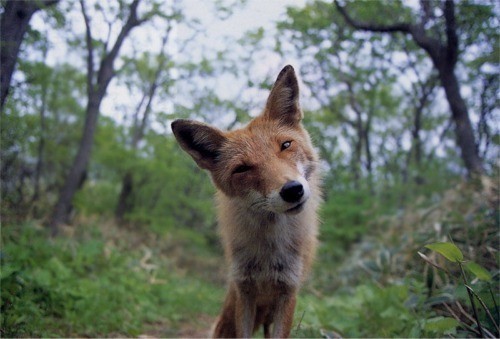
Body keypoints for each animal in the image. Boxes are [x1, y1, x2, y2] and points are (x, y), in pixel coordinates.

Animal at [171, 65, 320, 338]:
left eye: (285, 145)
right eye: (242, 169)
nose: (293, 190)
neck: (268, 253)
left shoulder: (287, 292)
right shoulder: (245, 290)